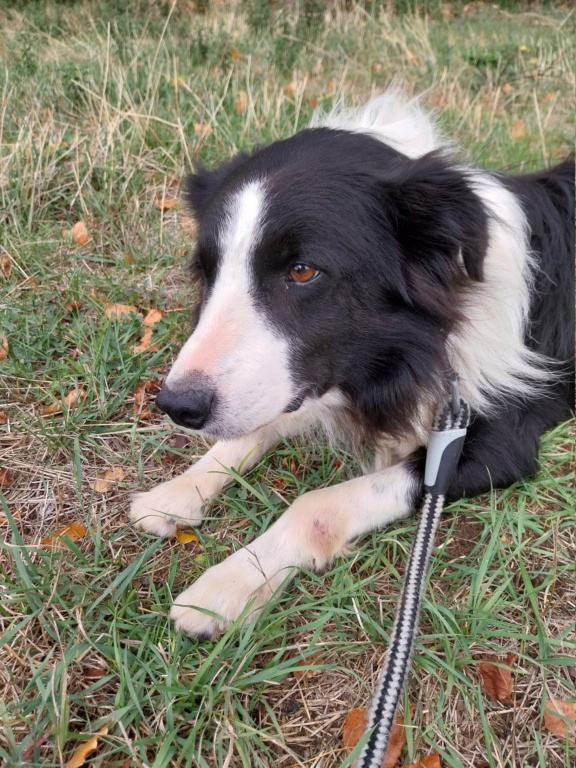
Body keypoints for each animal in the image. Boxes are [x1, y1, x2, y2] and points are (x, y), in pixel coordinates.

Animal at [128, 90, 572, 640]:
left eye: (302, 271)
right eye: (207, 272)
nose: (177, 407)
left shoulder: (501, 438)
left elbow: (318, 501)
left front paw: (230, 583)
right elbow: (256, 424)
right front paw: (177, 492)